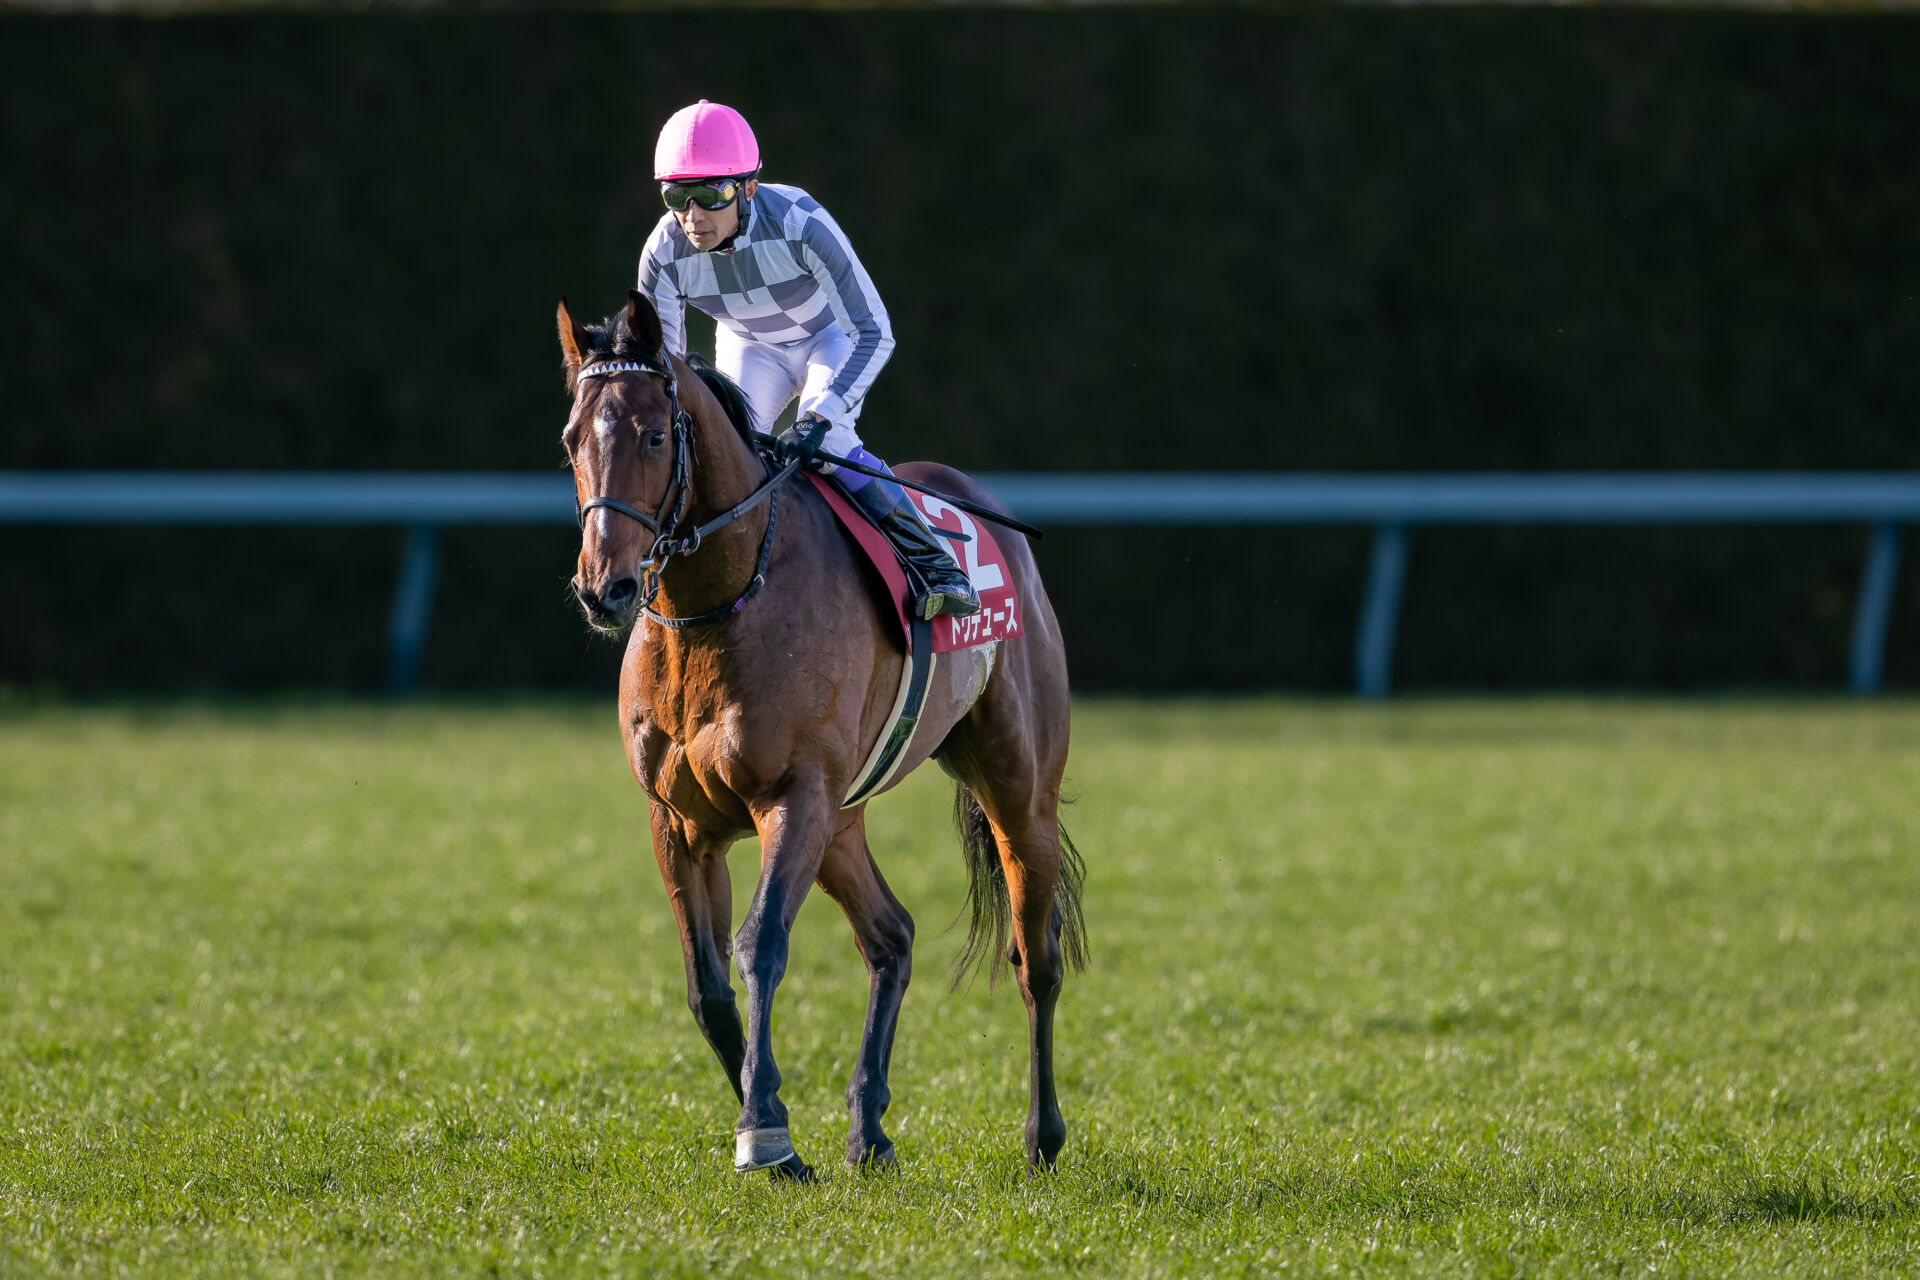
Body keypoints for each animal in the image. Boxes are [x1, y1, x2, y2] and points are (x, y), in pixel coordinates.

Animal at [556, 290, 1086, 1180]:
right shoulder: (681, 822)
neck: (720, 604)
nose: (608, 589)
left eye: (654, 435)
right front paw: (769, 1124)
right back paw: (869, 1128)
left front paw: (765, 1129)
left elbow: (761, 944)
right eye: (572, 439)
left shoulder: (792, 798)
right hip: (844, 821)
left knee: (1035, 957)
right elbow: (706, 987)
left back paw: (1042, 1136)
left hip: (1018, 789)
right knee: (893, 936)